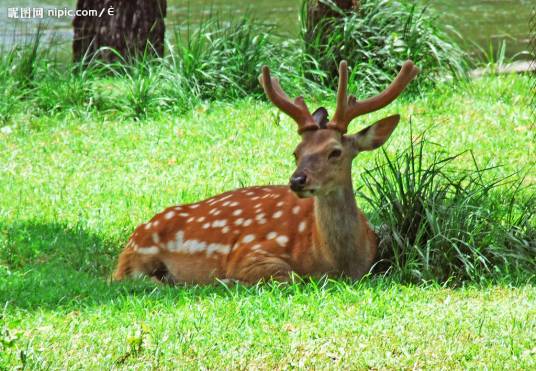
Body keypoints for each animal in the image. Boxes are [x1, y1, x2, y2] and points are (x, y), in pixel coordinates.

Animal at [114, 60, 418, 284]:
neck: (337, 262)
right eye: (296, 151)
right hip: (138, 258)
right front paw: (228, 281)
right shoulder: (248, 252)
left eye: (335, 152)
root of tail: (131, 238)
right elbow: (291, 276)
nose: (297, 180)